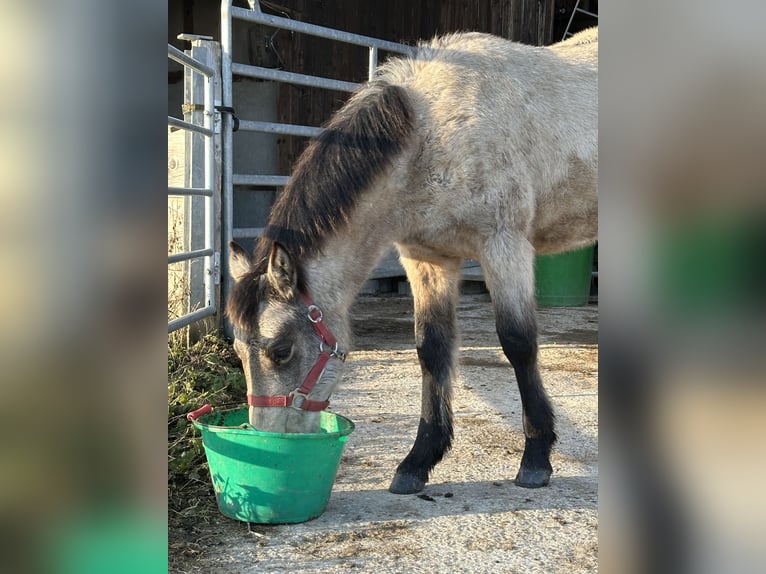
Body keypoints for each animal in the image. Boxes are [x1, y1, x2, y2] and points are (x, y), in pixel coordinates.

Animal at [225, 28, 596, 496]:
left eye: (281, 351)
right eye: (237, 350)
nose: (270, 437)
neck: (431, 133)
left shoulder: (504, 245)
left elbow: (518, 343)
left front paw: (535, 458)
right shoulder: (428, 260)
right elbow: (431, 349)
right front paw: (418, 461)